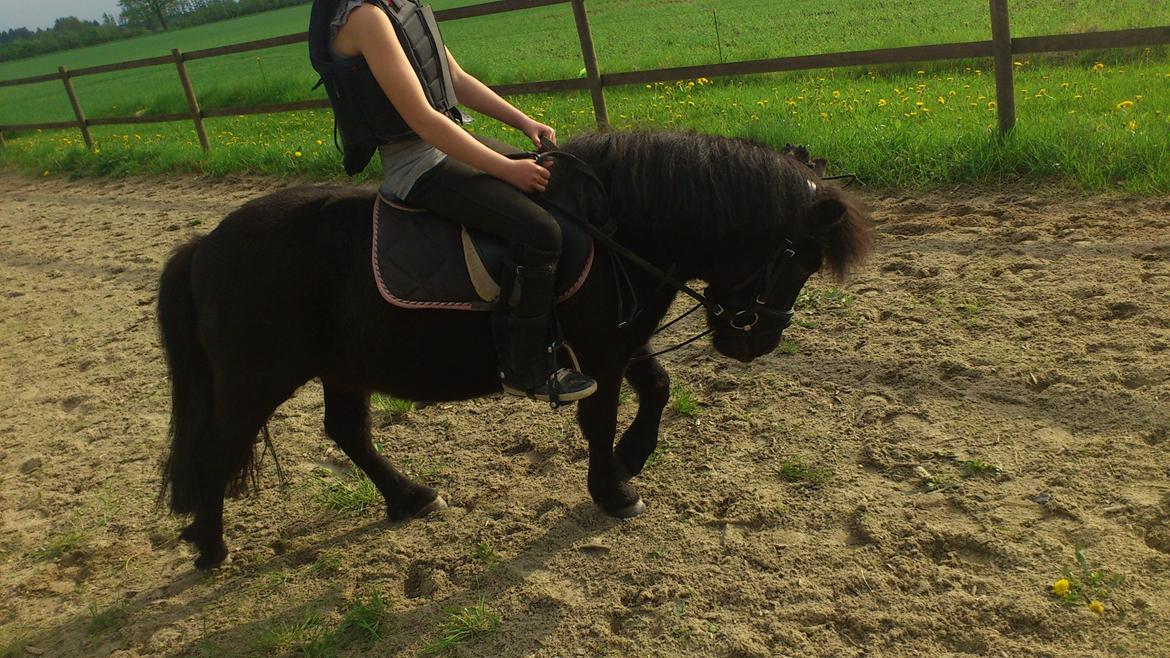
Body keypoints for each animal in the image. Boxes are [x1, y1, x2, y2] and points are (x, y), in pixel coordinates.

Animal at [157, 130, 871, 569]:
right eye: (799, 260)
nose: (759, 340)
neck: (618, 227)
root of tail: (205, 246)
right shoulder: (599, 354)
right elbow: (598, 417)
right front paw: (613, 489)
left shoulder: (616, 340)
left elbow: (659, 387)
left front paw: (633, 458)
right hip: (257, 377)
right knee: (216, 453)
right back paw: (212, 548)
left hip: (341, 364)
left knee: (348, 432)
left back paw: (409, 498)